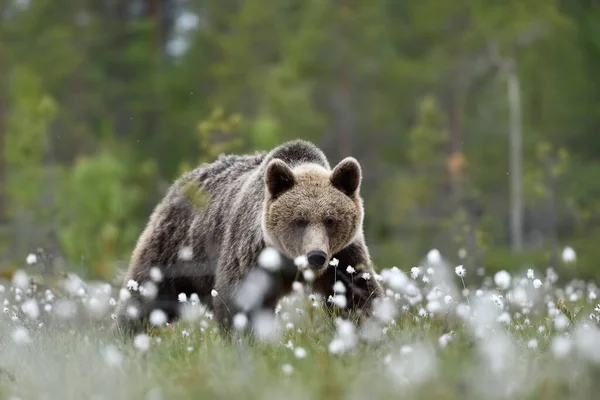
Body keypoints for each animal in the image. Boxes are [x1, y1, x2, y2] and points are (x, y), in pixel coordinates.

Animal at [115, 139, 382, 332]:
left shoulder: (343, 255)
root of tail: (180, 182)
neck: (288, 260)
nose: (315, 256)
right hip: (177, 247)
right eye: (299, 220)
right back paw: (127, 331)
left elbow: (357, 294)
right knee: (150, 292)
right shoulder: (253, 253)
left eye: (330, 220)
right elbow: (239, 300)